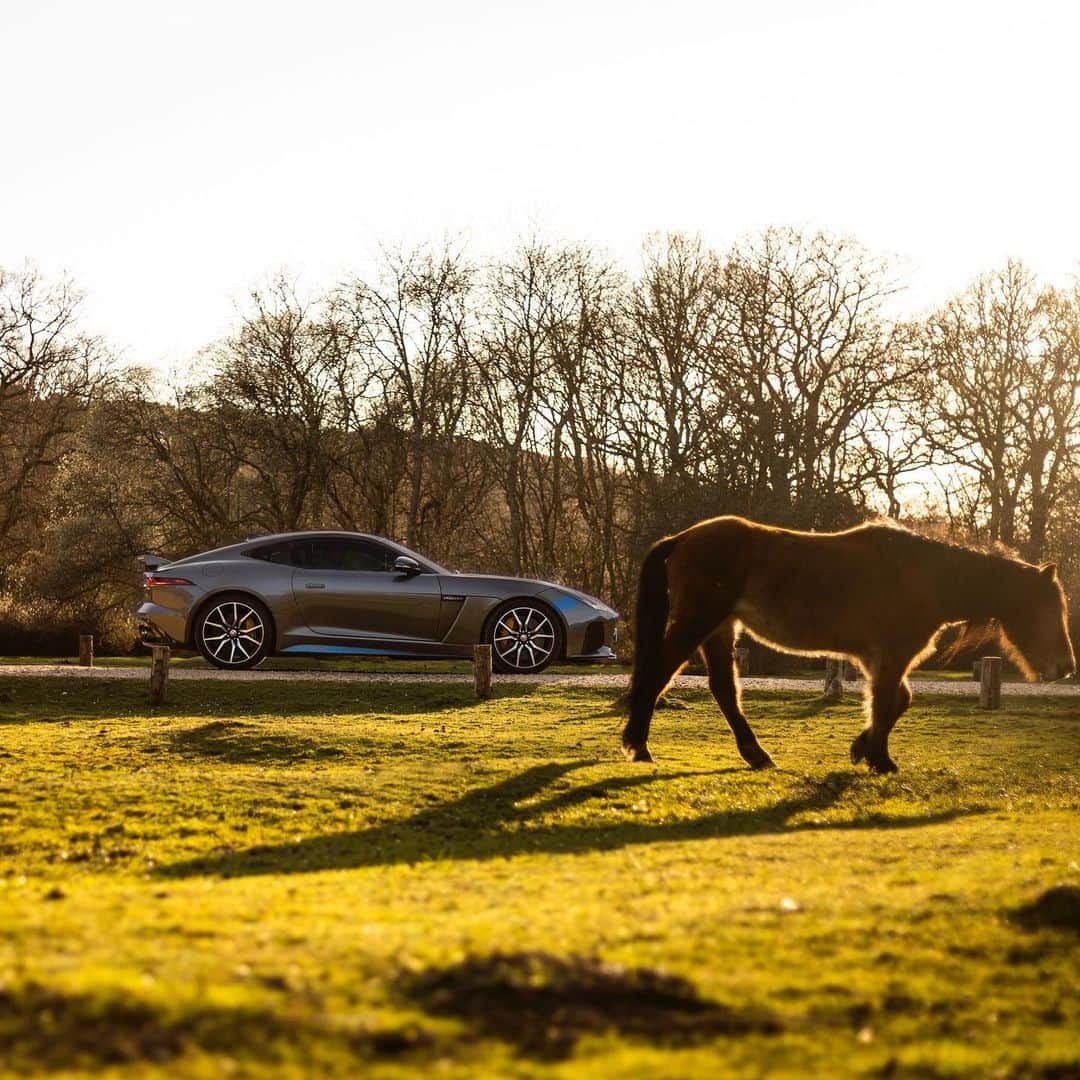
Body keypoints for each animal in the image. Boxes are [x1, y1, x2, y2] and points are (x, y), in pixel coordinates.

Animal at [622, 518, 1075, 773]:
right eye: (1048, 608)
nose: (1066, 666)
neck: (924, 576)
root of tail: (682, 538)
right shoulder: (891, 656)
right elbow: (887, 702)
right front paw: (879, 759)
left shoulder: (882, 659)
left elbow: (897, 702)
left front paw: (862, 748)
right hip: (698, 624)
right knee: (659, 675)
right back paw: (638, 746)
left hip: (719, 629)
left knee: (724, 690)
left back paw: (756, 754)